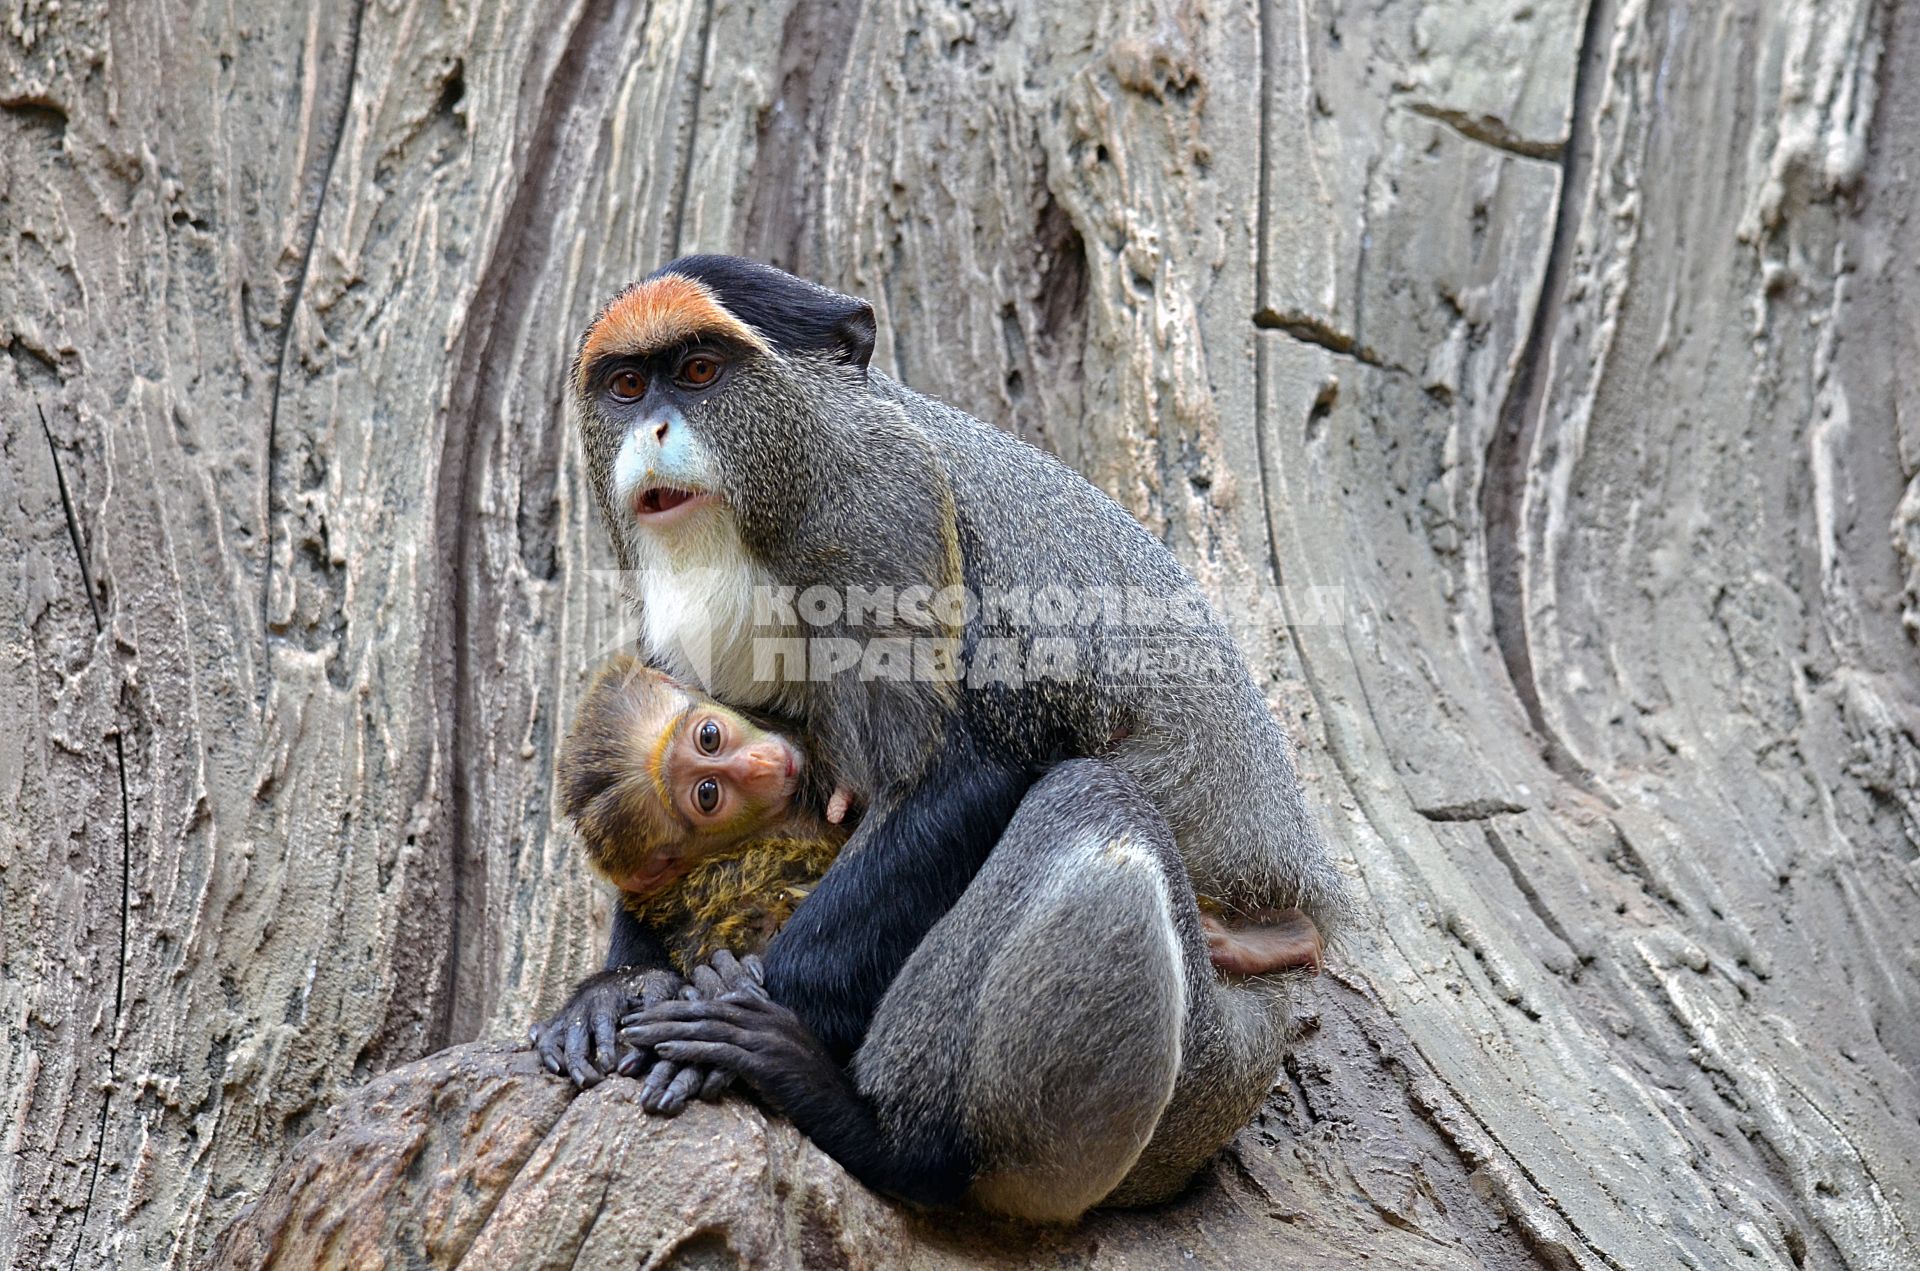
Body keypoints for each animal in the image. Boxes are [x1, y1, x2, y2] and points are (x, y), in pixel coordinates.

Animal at [541, 261, 1351, 1228]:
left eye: (700, 372)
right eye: (628, 386)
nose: (655, 428)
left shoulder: (884, 513)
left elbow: (964, 772)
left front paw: (732, 1016)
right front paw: (618, 987)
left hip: (1203, 1077)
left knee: (1094, 809)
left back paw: (881, 1135)